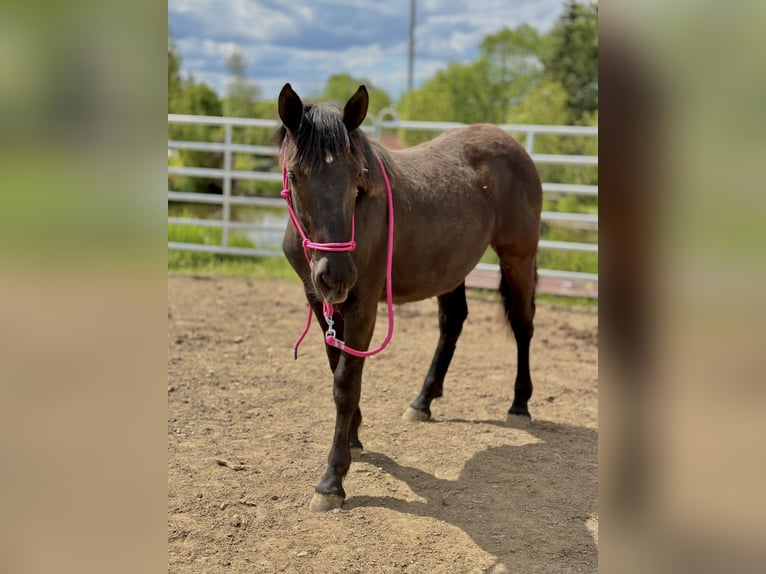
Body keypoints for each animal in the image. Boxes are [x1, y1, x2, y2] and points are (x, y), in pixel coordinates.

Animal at [276, 83, 542, 512]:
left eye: (357, 177)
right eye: (296, 175)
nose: (336, 274)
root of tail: (513, 145)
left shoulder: (363, 304)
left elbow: (346, 383)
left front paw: (332, 480)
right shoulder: (318, 300)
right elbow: (337, 366)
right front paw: (354, 435)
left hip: (518, 256)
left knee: (522, 323)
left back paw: (520, 405)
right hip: (452, 267)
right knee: (453, 322)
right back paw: (423, 401)